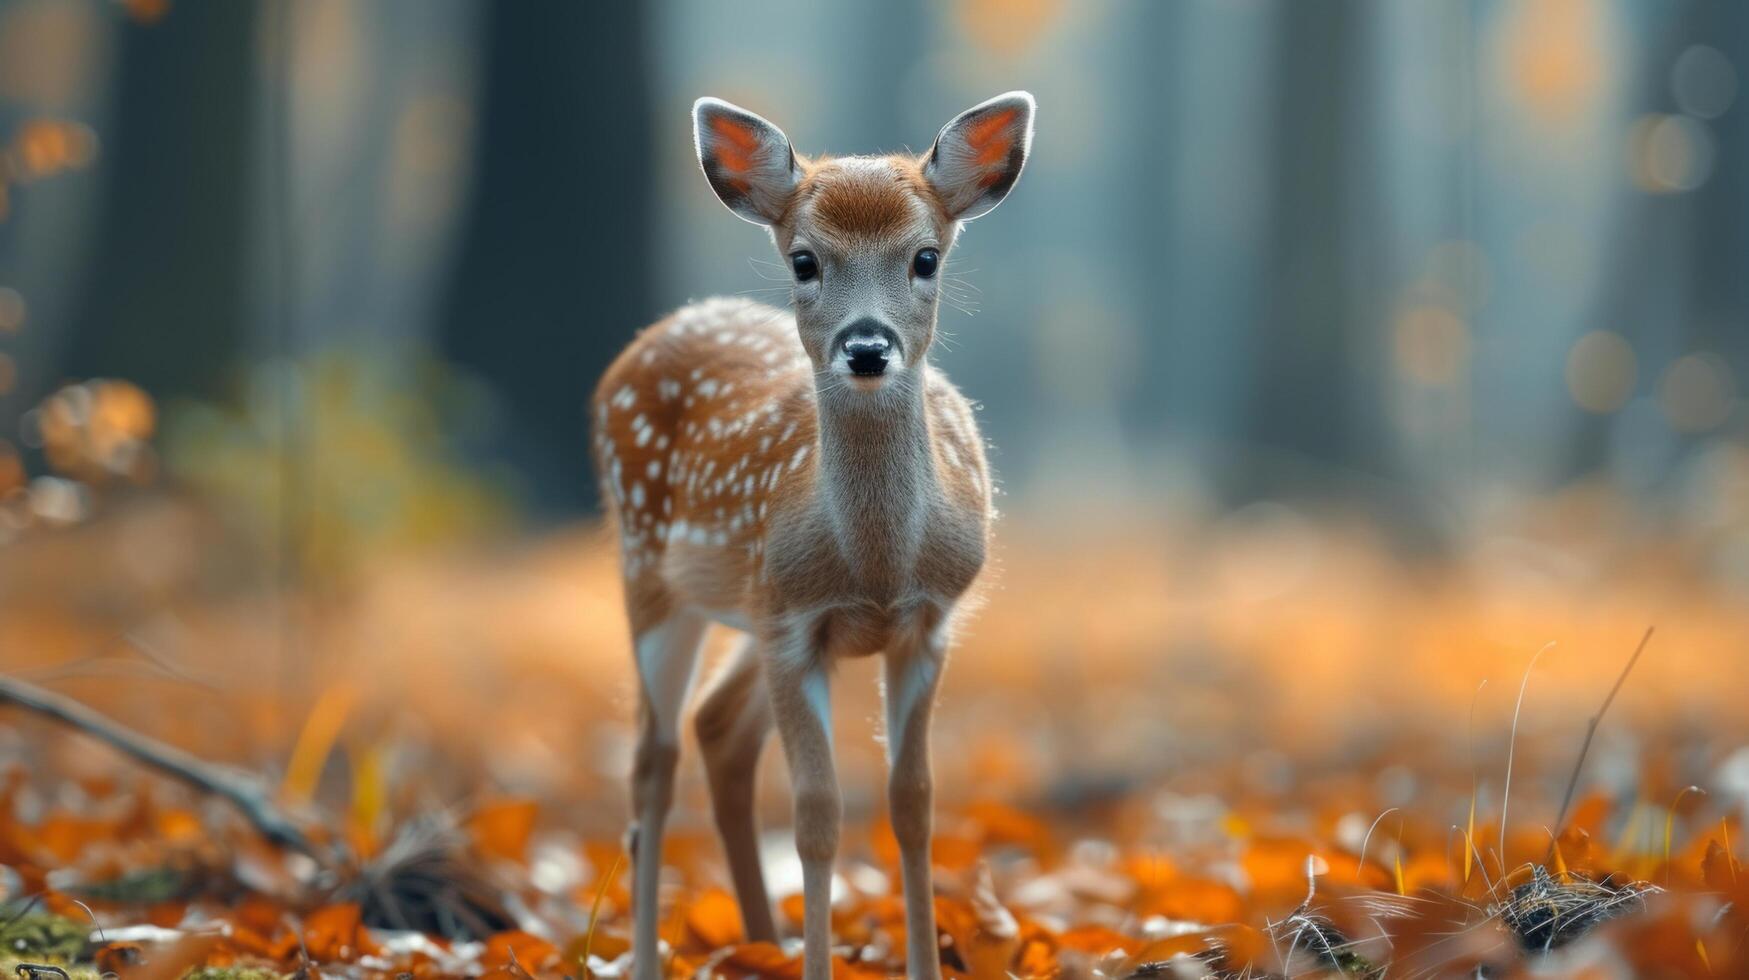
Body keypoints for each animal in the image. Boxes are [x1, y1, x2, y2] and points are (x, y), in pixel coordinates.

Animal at [598, 93, 1035, 980]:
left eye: (925, 257)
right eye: (804, 261)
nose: (866, 347)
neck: (875, 567)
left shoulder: (924, 623)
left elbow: (913, 803)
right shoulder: (793, 626)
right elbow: (816, 816)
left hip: (747, 609)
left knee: (716, 730)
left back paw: (761, 944)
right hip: (650, 572)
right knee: (652, 760)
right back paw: (654, 957)